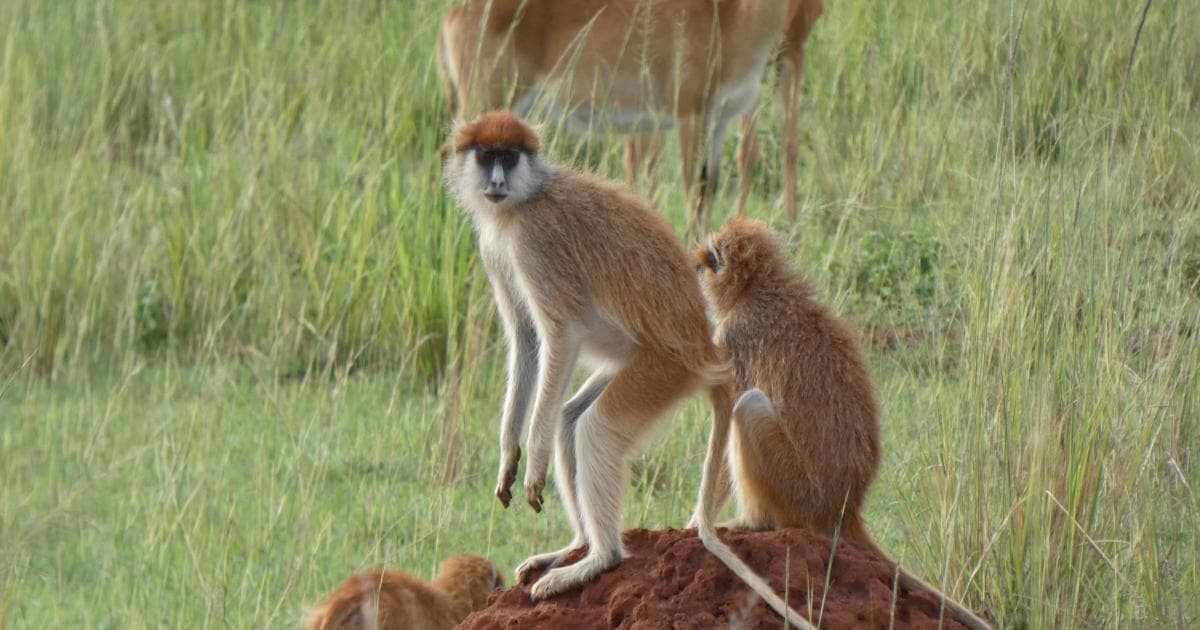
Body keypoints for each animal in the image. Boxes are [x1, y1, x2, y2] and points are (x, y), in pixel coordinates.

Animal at [446, 110, 820, 624]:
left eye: (508, 155)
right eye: (486, 156)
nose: (497, 181)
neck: (526, 198)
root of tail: (705, 349)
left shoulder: (534, 243)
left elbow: (558, 336)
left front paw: (533, 462)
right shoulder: (495, 247)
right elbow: (524, 339)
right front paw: (508, 457)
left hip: (665, 369)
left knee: (596, 429)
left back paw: (599, 559)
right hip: (647, 364)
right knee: (571, 419)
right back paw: (576, 547)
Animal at [696, 217, 993, 628]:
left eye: (710, 260)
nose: (697, 270)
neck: (762, 289)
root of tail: (845, 508)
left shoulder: (734, 337)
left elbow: (726, 420)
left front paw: (697, 524)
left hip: (796, 492)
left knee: (749, 405)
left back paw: (754, 522)